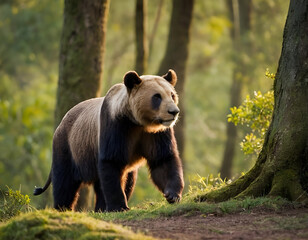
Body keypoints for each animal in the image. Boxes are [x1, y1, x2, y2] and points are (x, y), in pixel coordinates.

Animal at [34, 69, 183, 212]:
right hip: (70, 145)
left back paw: (100, 208)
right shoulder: (116, 125)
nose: (173, 112)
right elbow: (112, 161)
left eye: (172, 95)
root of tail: (61, 123)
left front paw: (172, 195)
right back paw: (63, 207)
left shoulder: (155, 134)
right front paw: (119, 206)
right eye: (157, 97)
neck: (138, 122)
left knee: (125, 179)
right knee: (65, 180)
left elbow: (162, 159)